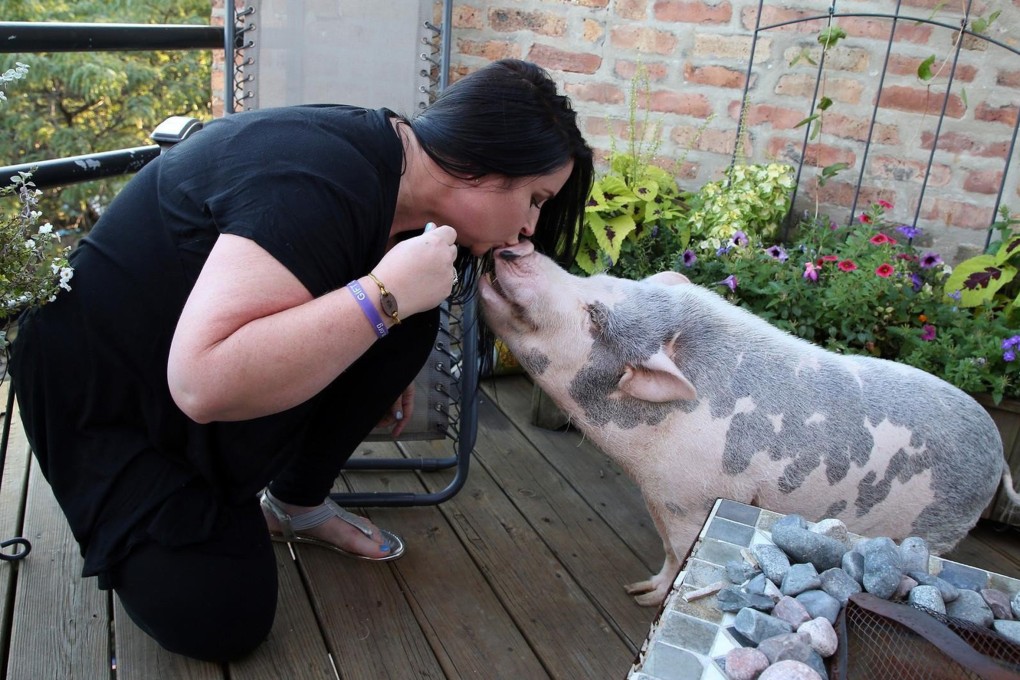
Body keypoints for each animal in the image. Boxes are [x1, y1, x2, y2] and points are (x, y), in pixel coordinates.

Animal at [479, 240, 1018, 606]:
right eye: (597, 283)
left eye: (594, 316)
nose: (515, 246)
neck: (642, 464)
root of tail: (996, 452)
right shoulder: (662, 493)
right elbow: (666, 553)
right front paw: (637, 588)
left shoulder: (690, 498)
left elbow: (680, 556)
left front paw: (648, 600)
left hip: (939, 530)